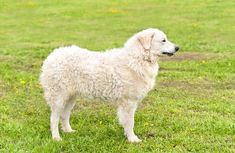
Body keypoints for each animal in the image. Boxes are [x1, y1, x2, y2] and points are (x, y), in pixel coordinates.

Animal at [40, 28, 180, 143]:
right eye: (163, 40)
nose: (177, 48)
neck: (139, 58)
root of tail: (52, 55)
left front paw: (129, 137)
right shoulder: (129, 102)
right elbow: (130, 122)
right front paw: (132, 139)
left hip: (70, 97)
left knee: (64, 115)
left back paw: (69, 131)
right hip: (58, 97)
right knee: (54, 118)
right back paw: (56, 138)